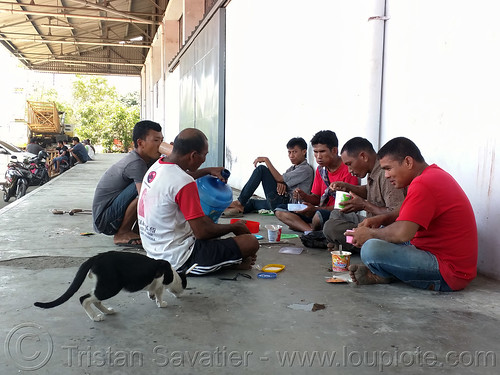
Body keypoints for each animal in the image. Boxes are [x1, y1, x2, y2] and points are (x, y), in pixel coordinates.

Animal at [34, 251, 188, 322]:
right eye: (184, 285)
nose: (182, 294)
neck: (173, 274)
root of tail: (97, 257)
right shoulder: (161, 280)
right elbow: (160, 292)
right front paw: (161, 303)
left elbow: (152, 290)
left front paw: (151, 296)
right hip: (111, 286)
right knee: (84, 298)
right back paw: (95, 317)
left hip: (105, 285)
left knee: (95, 300)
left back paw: (107, 311)